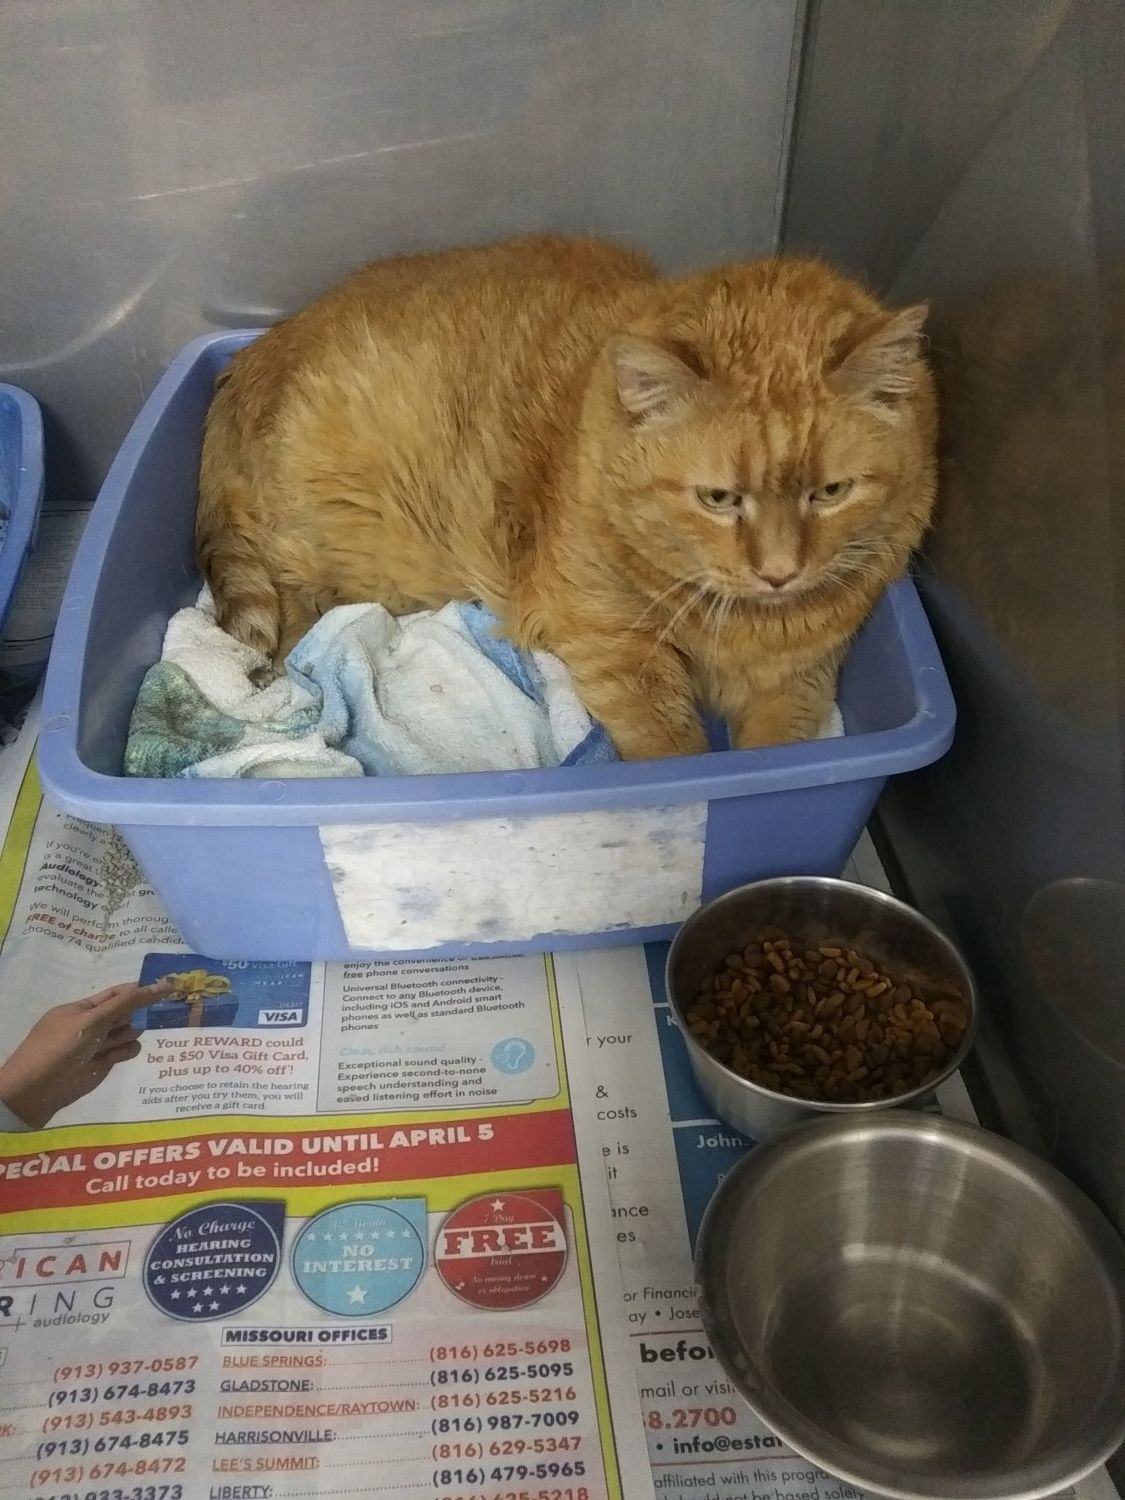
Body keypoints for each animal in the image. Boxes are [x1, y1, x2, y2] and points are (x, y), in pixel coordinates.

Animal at [198, 235, 936, 762]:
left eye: (830, 492)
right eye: (719, 497)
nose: (780, 572)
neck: (741, 621)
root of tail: (254, 353)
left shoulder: (801, 677)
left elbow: (774, 751)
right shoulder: (611, 644)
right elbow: (671, 743)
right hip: (332, 552)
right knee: (292, 622)